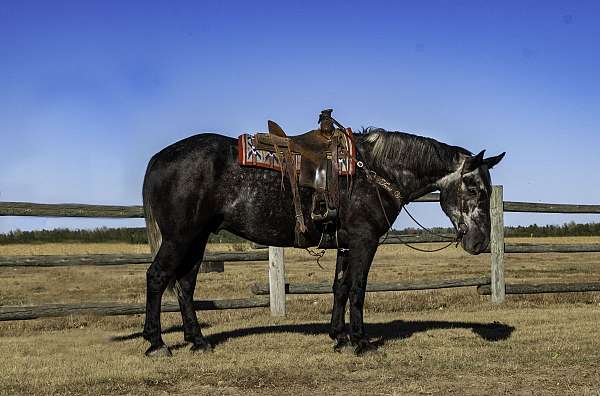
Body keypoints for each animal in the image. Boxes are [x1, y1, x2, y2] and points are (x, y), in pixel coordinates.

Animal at [143, 126, 504, 356]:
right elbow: (357, 288)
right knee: (158, 277)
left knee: (185, 284)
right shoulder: (364, 240)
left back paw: (198, 340)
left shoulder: (346, 242)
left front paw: (339, 337)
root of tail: (160, 158)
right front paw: (361, 342)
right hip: (180, 237)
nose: (480, 242)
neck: (374, 172)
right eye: (474, 188)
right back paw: (156, 343)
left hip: (198, 239)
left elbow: (340, 287)